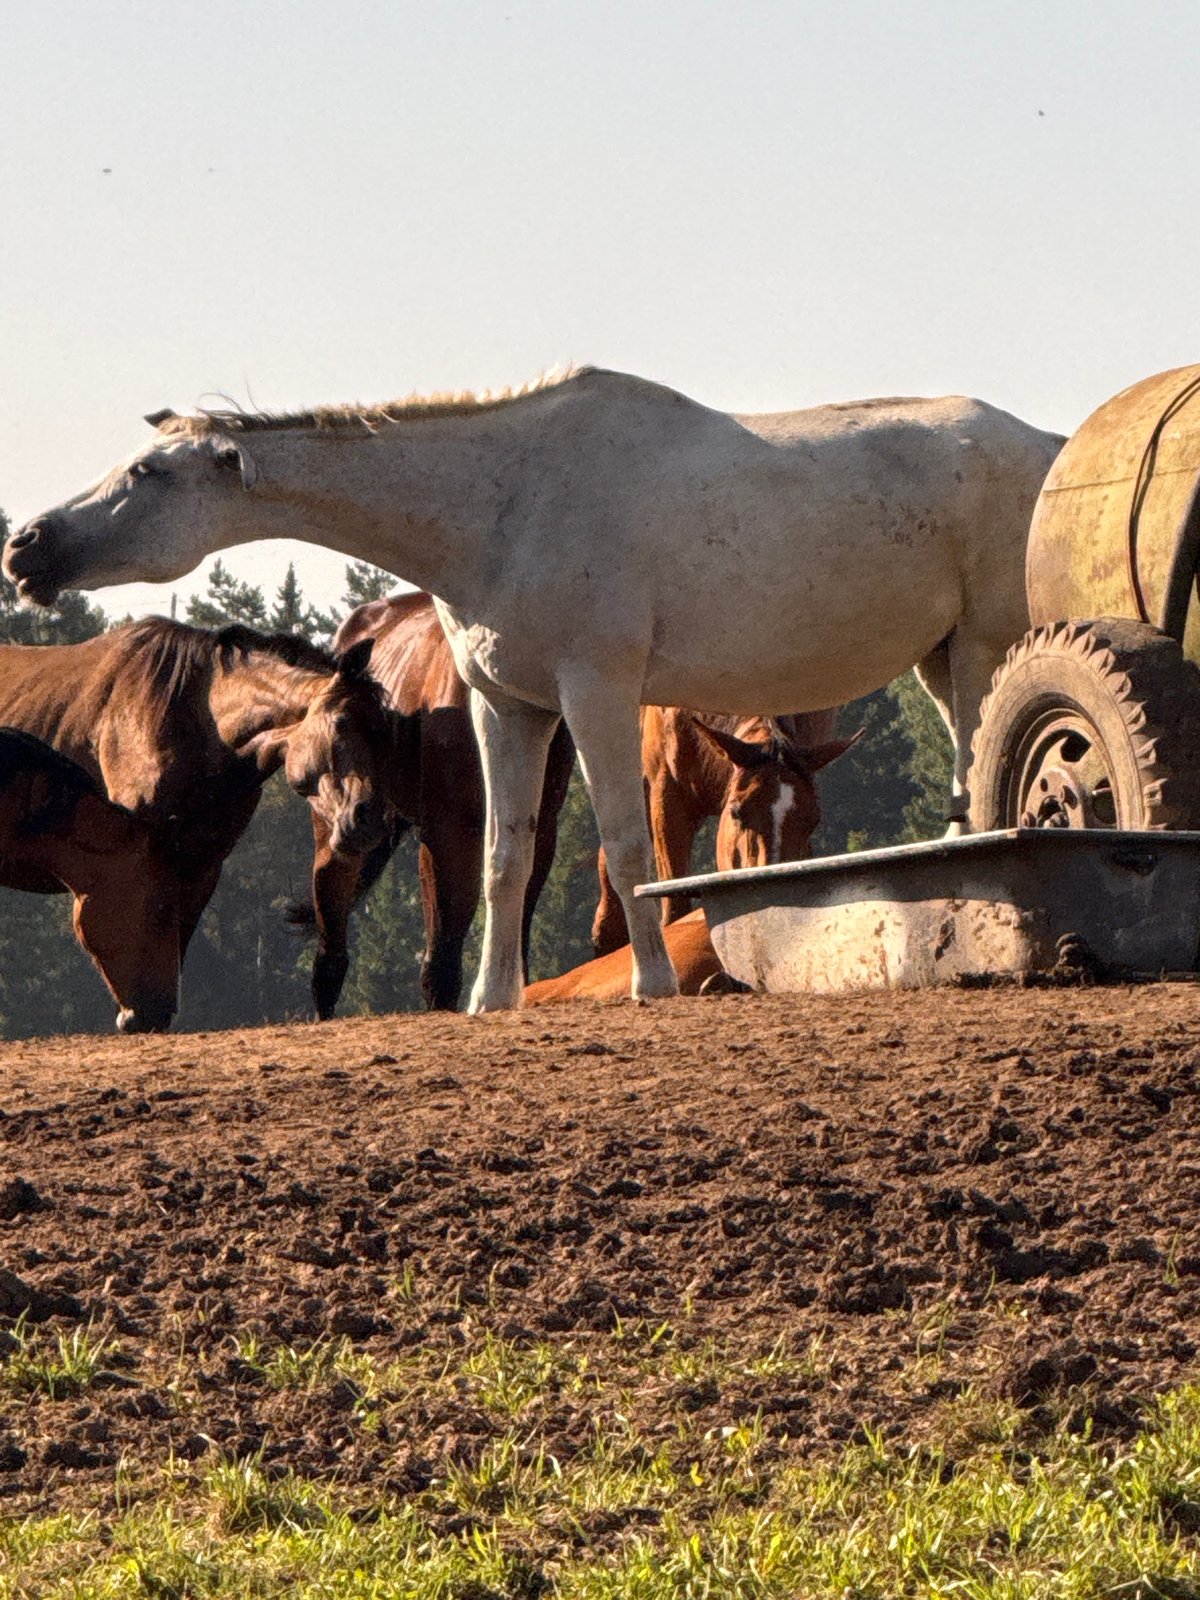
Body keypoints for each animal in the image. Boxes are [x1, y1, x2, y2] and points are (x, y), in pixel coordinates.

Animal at [297, 591, 575, 1016]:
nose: (363, 816)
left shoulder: (542, 827)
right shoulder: (446, 829)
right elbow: (441, 957)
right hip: (335, 836)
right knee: (330, 956)